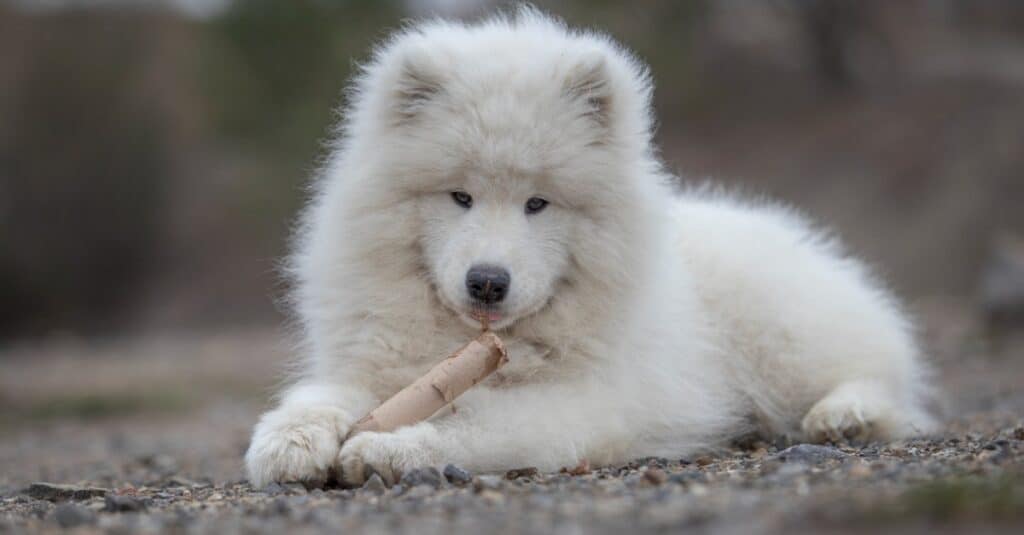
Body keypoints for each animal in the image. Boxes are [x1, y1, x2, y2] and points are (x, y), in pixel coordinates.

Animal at [243, 8, 933, 485]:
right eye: (460, 197)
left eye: (537, 204)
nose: (487, 281)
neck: (472, 342)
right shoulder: (374, 368)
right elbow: (322, 397)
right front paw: (288, 442)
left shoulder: (581, 404)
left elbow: (474, 422)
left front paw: (388, 448)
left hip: (782, 337)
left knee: (880, 373)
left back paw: (845, 415)